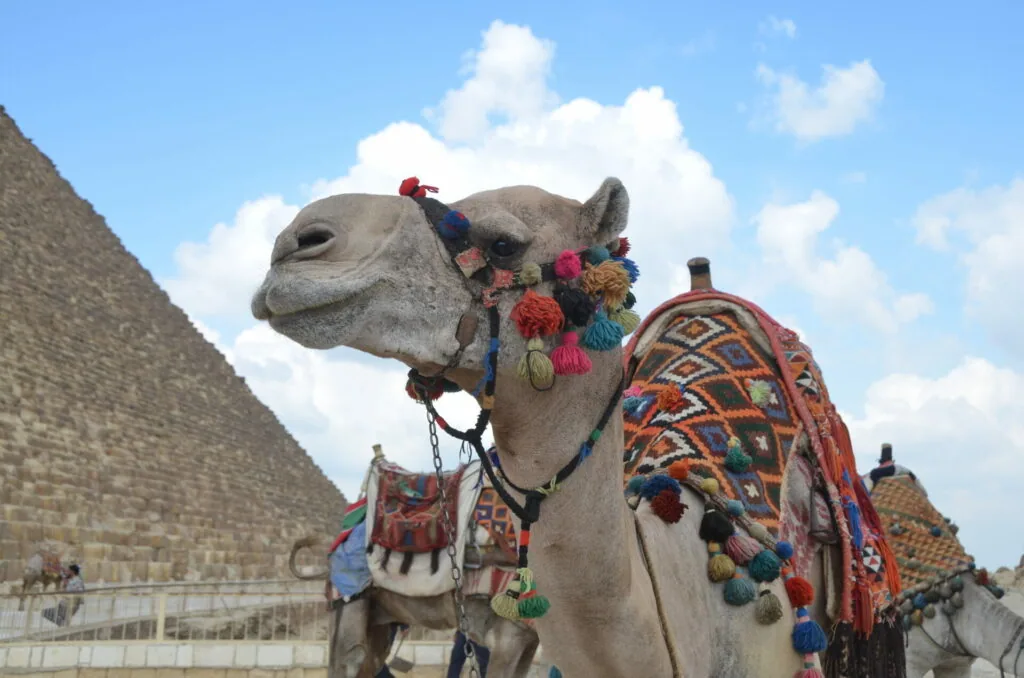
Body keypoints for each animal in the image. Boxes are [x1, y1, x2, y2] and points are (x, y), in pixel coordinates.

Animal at [287, 446, 540, 677]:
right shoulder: (509, 634)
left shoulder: (528, 637)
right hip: (347, 598)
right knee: (350, 659)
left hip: (379, 619)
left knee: (371, 661)